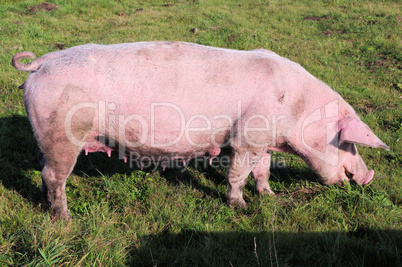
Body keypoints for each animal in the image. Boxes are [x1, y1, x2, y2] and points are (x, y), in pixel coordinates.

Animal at [11, 42, 390, 221]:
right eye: (348, 144)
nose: (368, 177)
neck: (296, 107)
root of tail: (40, 63)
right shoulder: (246, 137)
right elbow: (238, 173)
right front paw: (240, 206)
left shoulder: (263, 140)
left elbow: (263, 169)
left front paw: (269, 196)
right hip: (63, 133)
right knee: (54, 175)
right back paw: (64, 218)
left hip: (48, 135)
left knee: (45, 171)